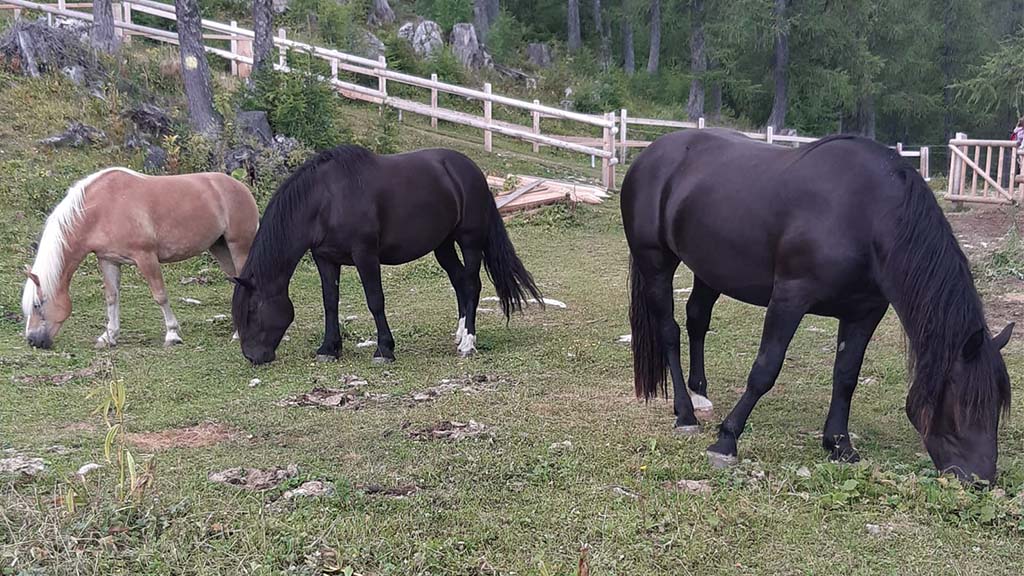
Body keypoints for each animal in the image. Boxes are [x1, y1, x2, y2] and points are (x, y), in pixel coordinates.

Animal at [23, 166, 258, 344]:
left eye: (37, 305)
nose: (32, 340)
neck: (103, 208)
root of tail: (241, 187)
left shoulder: (146, 258)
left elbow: (160, 295)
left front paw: (172, 334)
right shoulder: (108, 260)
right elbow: (112, 297)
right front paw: (109, 336)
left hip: (239, 247)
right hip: (221, 249)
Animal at [229, 145, 540, 364]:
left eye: (252, 310)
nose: (252, 356)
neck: (327, 201)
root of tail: (472, 170)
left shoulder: (365, 255)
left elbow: (375, 300)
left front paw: (384, 350)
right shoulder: (325, 258)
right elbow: (330, 302)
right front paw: (329, 348)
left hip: (470, 242)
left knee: (473, 284)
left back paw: (468, 343)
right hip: (443, 245)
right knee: (460, 283)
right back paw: (460, 334)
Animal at [622, 129, 1015, 479]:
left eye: (997, 404)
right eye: (963, 403)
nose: (980, 478)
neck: (867, 214)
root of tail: (648, 155)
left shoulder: (865, 312)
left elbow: (846, 376)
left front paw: (839, 444)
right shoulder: (790, 297)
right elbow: (765, 369)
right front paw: (727, 439)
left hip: (709, 269)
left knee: (697, 320)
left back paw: (699, 393)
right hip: (655, 263)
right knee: (669, 331)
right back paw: (685, 414)